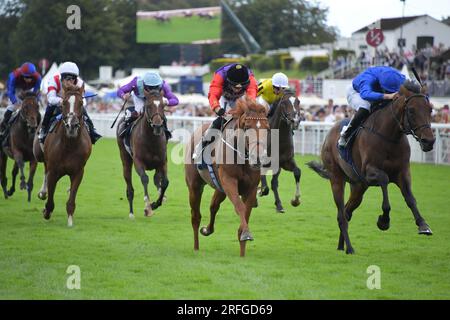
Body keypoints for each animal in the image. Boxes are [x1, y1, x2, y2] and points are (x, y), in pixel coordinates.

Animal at [32, 84, 92, 226]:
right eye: (64, 102)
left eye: (81, 103)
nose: (72, 125)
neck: (70, 145)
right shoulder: (54, 171)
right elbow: (50, 200)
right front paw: (46, 212)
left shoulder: (78, 172)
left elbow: (71, 199)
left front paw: (70, 221)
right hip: (40, 155)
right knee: (45, 169)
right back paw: (43, 192)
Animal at [117, 88, 170, 218]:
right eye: (148, 106)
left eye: (163, 105)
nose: (157, 126)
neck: (151, 139)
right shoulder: (138, 161)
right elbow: (145, 179)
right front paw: (148, 207)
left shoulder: (162, 161)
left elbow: (165, 182)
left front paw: (155, 203)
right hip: (125, 158)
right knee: (129, 184)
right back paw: (131, 213)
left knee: (157, 179)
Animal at [185, 97, 268, 258]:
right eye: (247, 127)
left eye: (266, 128)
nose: (258, 158)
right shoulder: (229, 182)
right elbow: (240, 206)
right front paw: (246, 234)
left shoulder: (251, 188)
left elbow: (246, 212)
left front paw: (242, 250)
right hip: (195, 186)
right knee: (195, 216)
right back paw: (196, 247)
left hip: (220, 188)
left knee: (213, 207)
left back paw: (207, 230)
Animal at [308, 80, 434, 255]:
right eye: (411, 110)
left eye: (430, 109)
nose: (429, 141)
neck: (390, 137)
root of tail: (329, 134)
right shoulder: (369, 173)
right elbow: (384, 180)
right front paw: (384, 221)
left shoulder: (402, 172)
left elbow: (410, 198)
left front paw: (423, 225)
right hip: (337, 179)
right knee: (341, 214)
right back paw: (350, 248)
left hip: (358, 187)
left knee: (346, 211)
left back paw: (342, 246)